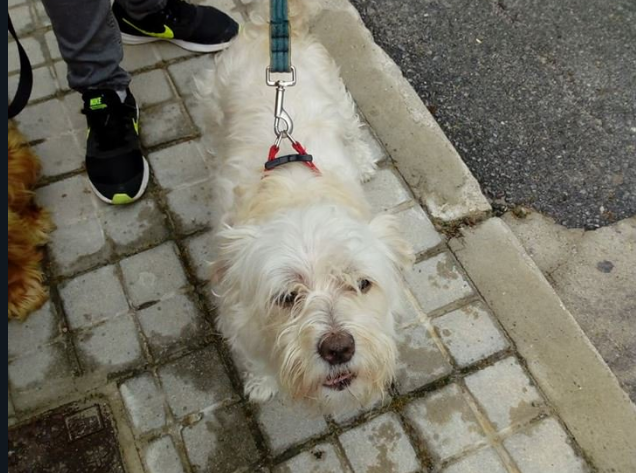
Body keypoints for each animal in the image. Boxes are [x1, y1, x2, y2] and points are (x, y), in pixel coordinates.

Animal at [201, 0, 414, 412]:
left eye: (362, 284)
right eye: (287, 297)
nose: (339, 348)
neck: (295, 193)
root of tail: (266, 29)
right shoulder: (238, 318)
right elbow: (254, 356)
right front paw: (262, 383)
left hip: (338, 97)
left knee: (352, 130)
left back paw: (363, 161)